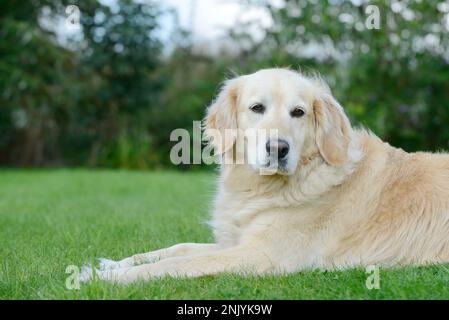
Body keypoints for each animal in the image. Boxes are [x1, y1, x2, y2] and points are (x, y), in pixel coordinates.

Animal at [80, 69, 448, 284]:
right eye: (257, 108)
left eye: (298, 112)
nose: (278, 148)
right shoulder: (235, 241)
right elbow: (177, 249)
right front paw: (111, 264)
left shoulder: (263, 254)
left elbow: (176, 265)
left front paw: (102, 279)